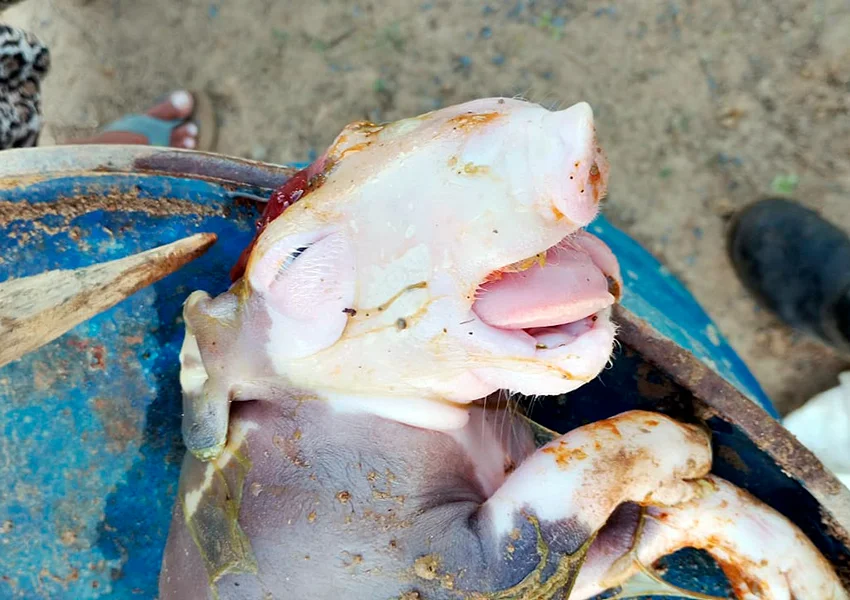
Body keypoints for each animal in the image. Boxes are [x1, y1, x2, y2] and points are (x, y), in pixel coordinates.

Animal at [158, 98, 848, 599]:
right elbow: (540, 517)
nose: (561, 131)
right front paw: (685, 446)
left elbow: (616, 543)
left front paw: (698, 495)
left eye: (355, 132)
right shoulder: (389, 558)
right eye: (296, 260)